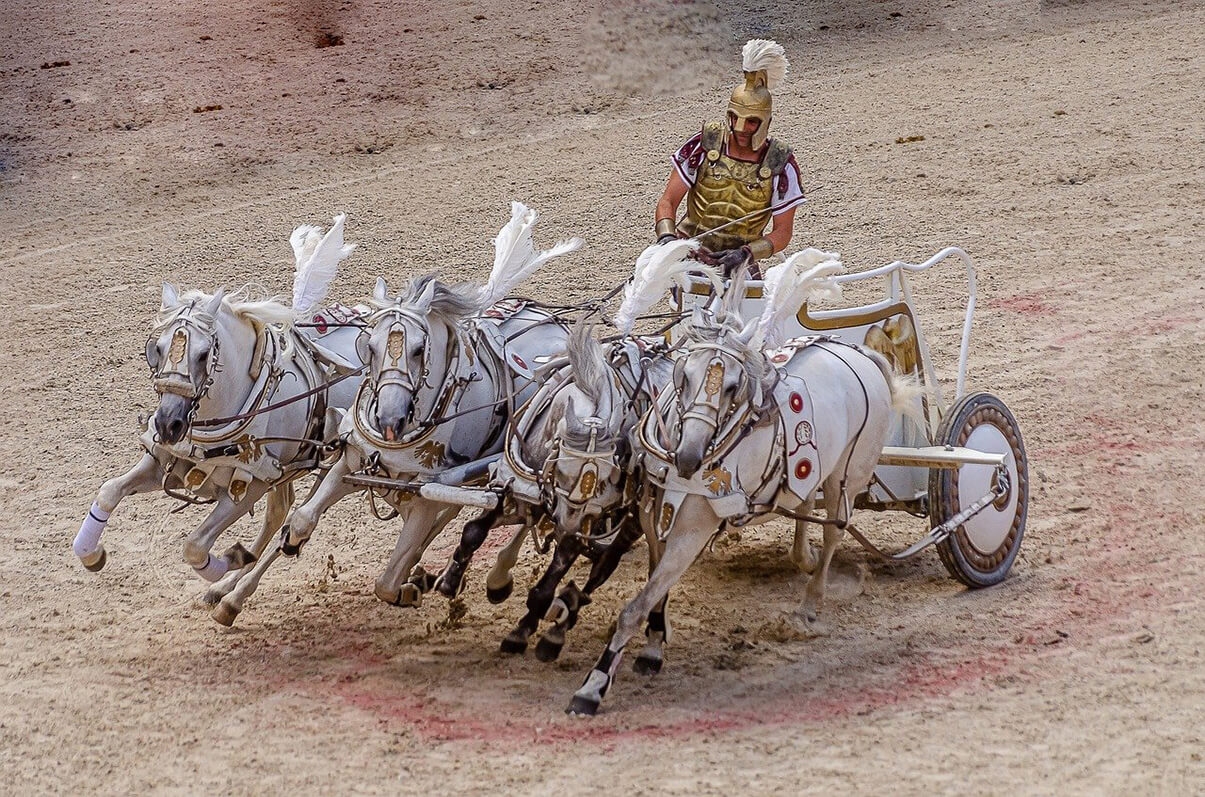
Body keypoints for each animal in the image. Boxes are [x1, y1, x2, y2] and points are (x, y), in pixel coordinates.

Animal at [71, 214, 359, 600]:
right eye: (156, 348)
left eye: (204, 353)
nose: (168, 424)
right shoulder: (163, 462)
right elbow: (108, 491)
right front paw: (91, 553)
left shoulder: (249, 485)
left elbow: (194, 546)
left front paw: (234, 557)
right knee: (281, 514)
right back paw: (226, 590)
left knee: (297, 520)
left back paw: (234, 591)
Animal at [218, 202, 588, 626]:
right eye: (370, 345)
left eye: (418, 349)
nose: (389, 420)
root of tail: (560, 330)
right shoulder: (353, 462)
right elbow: (300, 521)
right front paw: (234, 594)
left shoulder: (428, 488)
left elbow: (387, 580)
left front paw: (409, 587)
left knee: (523, 511)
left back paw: (491, 577)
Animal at [568, 250, 915, 713]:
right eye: (683, 375)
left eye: (733, 386)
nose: (689, 457)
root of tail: (859, 354)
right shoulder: (652, 519)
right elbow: (655, 591)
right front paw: (654, 647)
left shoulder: (692, 531)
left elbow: (635, 607)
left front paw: (592, 687)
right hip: (814, 464)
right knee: (805, 502)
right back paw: (802, 557)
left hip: (849, 473)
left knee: (836, 529)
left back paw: (811, 602)